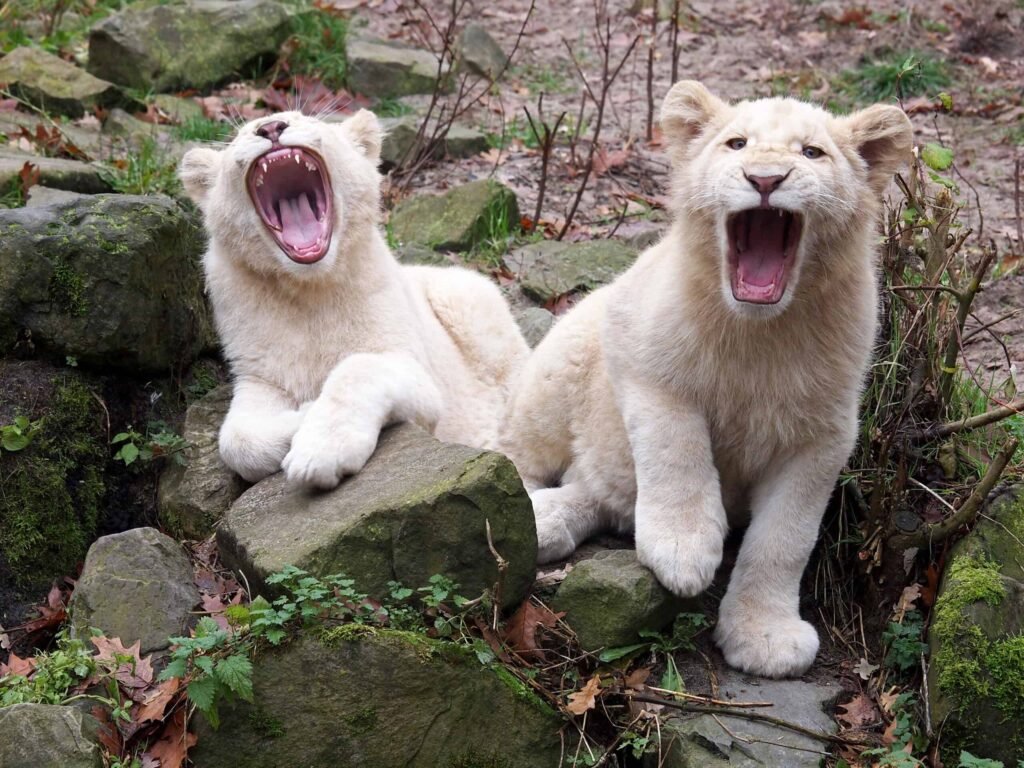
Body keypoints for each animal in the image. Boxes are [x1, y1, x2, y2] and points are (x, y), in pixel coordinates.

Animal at [179, 110, 529, 490]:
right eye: (239, 135)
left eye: (305, 118)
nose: (271, 127)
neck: (309, 286)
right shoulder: (256, 351)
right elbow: (237, 438)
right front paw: (302, 414)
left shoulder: (396, 330)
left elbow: (364, 367)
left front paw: (317, 455)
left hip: (470, 301)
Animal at [500, 82, 913, 677]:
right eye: (736, 144)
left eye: (812, 152)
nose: (765, 179)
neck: (760, 330)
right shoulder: (641, 344)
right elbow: (676, 445)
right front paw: (683, 551)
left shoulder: (824, 426)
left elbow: (785, 535)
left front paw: (767, 639)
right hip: (561, 362)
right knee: (522, 449)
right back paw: (519, 503)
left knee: (596, 493)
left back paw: (551, 518)